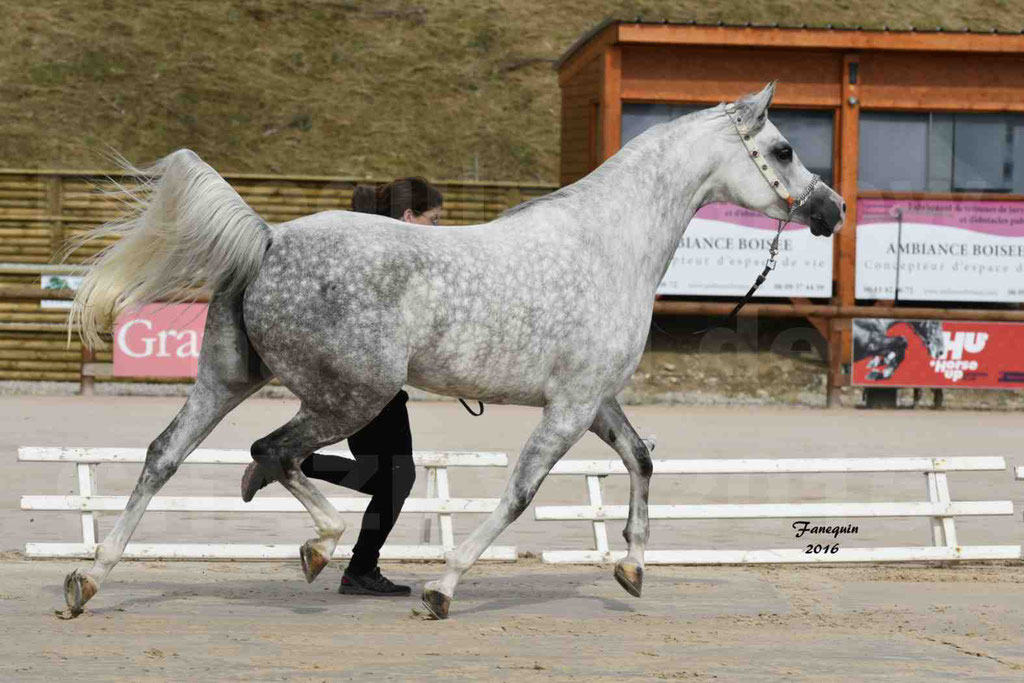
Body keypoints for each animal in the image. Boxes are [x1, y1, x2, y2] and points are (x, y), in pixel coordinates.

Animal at [66, 81, 847, 618]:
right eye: (783, 149)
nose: (832, 210)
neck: (609, 243)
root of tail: (269, 239)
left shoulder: (595, 401)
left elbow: (641, 458)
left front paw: (631, 568)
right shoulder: (569, 409)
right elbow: (520, 492)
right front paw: (442, 588)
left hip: (228, 382)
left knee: (166, 456)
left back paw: (89, 578)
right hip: (351, 396)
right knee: (273, 452)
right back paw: (316, 543)